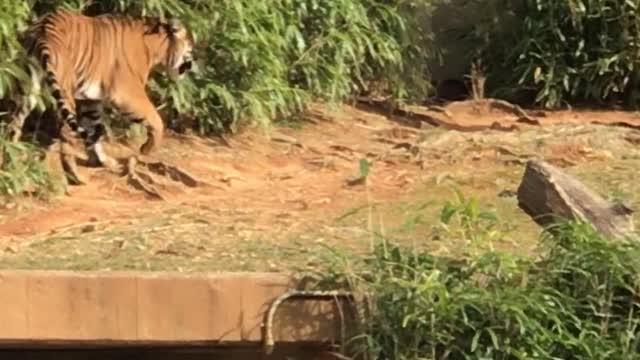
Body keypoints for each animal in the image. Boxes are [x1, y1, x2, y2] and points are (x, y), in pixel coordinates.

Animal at [13, 9, 194, 184]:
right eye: (190, 46)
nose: (192, 65)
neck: (155, 47)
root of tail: (44, 28)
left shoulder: (90, 100)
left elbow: (93, 131)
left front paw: (102, 161)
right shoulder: (129, 93)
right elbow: (156, 120)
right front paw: (146, 149)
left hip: (27, 86)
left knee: (14, 123)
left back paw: (11, 157)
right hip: (64, 89)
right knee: (66, 135)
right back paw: (76, 177)